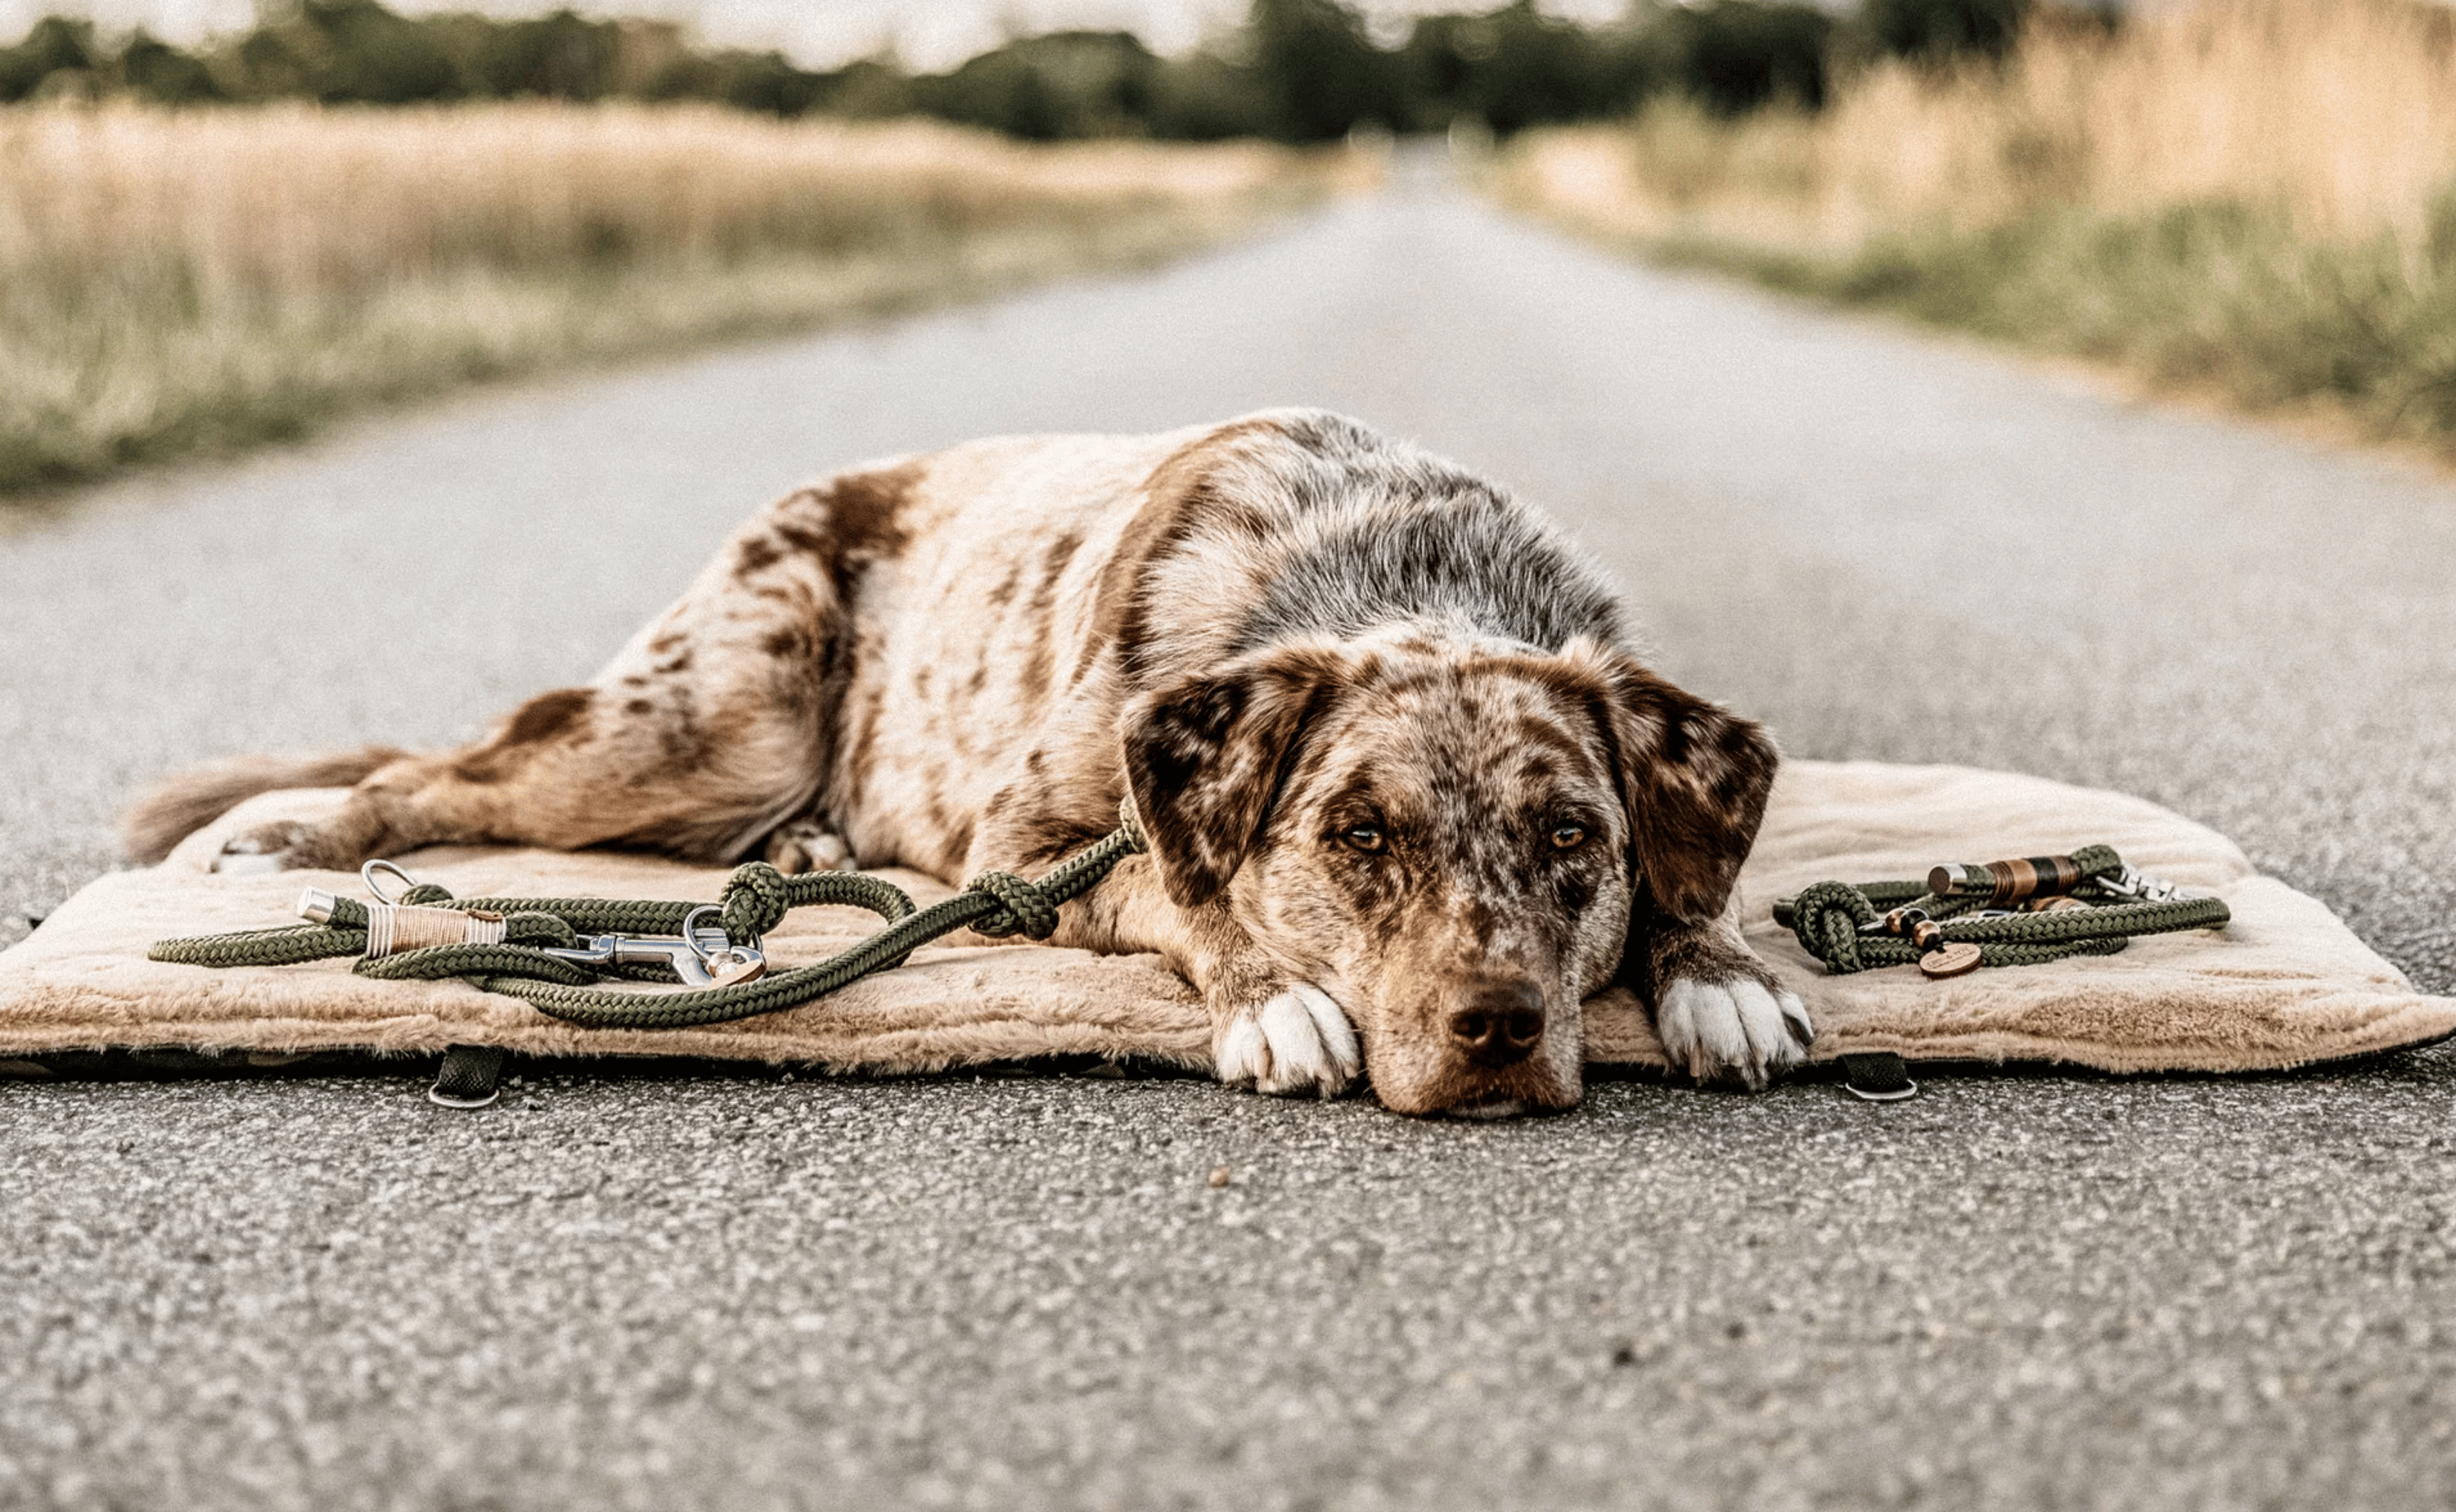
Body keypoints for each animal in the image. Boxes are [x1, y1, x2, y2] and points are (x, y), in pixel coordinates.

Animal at [124, 407, 1817, 1114]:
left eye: (1574, 841)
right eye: (1359, 836)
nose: (1497, 1033)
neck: (1384, 573)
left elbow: (1698, 883)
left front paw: (1717, 965)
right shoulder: (1032, 847)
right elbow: (1184, 887)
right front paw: (1273, 1001)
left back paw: (806, 856)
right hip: (705, 724)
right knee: (451, 776)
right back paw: (279, 840)